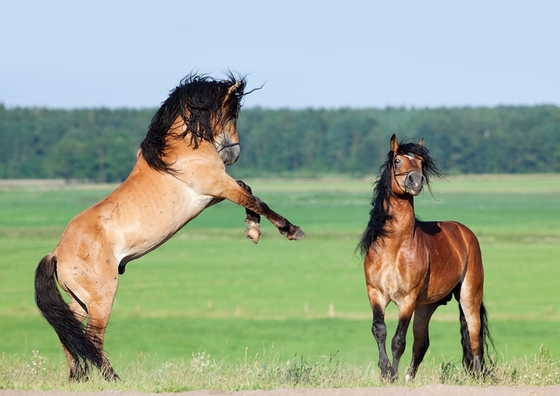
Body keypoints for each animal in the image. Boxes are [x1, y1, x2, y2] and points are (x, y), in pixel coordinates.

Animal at [32, 72, 304, 380]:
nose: (234, 153)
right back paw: (112, 378)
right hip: (101, 298)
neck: (179, 151)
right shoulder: (217, 186)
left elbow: (248, 192)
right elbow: (257, 200)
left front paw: (252, 230)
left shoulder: (212, 195)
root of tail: (57, 252)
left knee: (69, 334)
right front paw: (290, 230)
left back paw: (78, 377)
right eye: (233, 112)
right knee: (92, 337)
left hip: (79, 301)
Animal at [356, 135, 492, 380]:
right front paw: (385, 372)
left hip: (469, 296)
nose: (415, 180)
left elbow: (398, 340)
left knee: (474, 338)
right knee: (421, 344)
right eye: (398, 160)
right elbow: (379, 330)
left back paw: (477, 377)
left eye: (420, 162)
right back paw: (410, 378)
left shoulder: (407, 300)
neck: (394, 247)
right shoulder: (376, 294)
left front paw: (393, 376)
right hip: (426, 307)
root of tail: (464, 233)